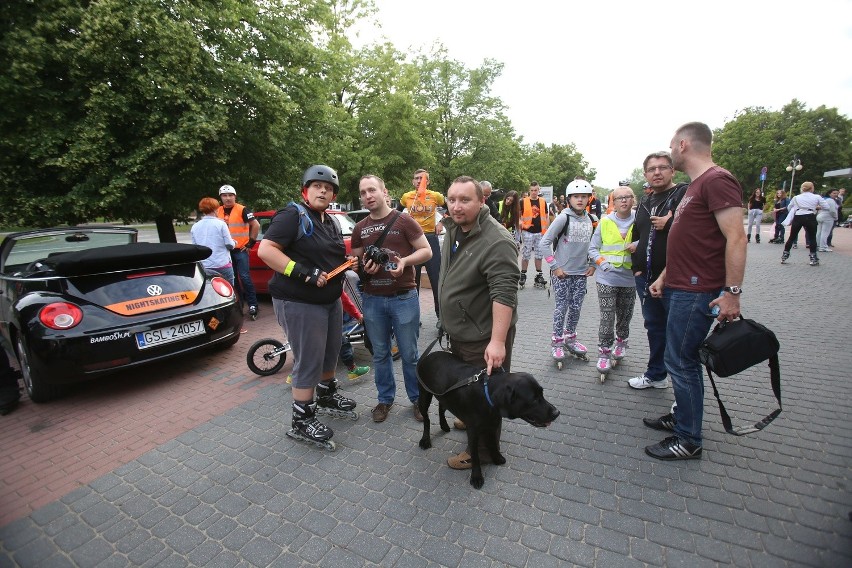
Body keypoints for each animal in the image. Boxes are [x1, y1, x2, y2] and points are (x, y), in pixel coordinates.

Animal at [418, 350, 564, 488]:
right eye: (533, 399)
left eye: (542, 393)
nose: (557, 413)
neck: (486, 397)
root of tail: (428, 355)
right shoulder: (473, 432)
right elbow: (475, 456)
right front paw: (476, 477)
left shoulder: (493, 424)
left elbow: (493, 444)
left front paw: (497, 458)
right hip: (424, 396)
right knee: (426, 419)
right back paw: (425, 440)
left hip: (444, 396)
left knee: (441, 408)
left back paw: (444, 425)